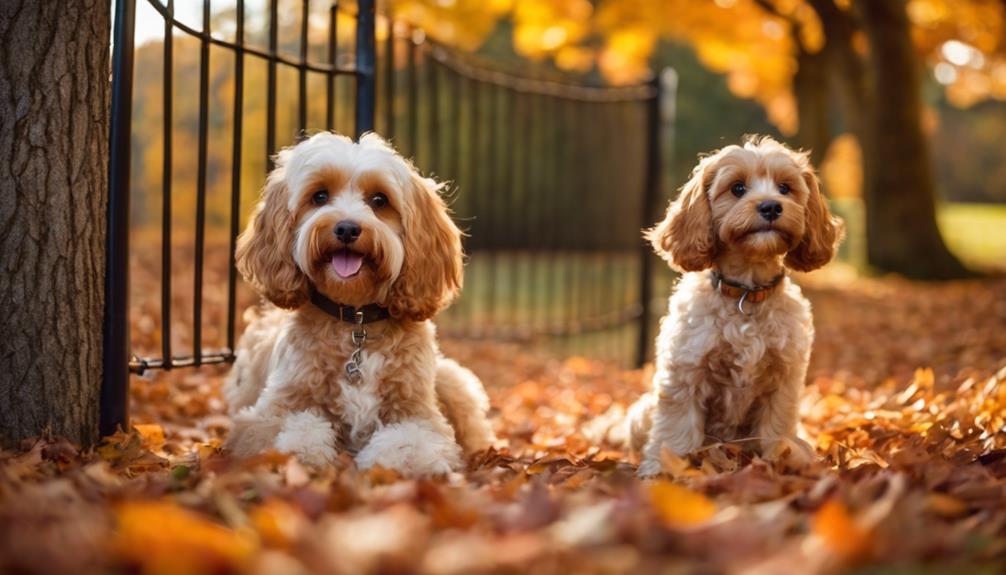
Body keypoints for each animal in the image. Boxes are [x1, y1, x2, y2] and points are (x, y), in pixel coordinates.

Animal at [226, 131, 496, 476]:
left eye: (379, 200)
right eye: (320, 196)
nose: (346, 228)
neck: (356, 321)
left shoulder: (421, 417)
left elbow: (407, 443)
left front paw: (384, 465)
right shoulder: (262, 416)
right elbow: (297, 428)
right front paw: (306, 454)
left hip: (450, 379)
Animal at [627, 135, 841, 476]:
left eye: (785, 188)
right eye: (737, 188)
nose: (770, 206)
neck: (745, 293)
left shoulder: (784, 380)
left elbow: (776, 428)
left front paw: (783, 460)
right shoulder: (685, 374)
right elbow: (676, 428)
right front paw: (668, 469)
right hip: (640, 414)